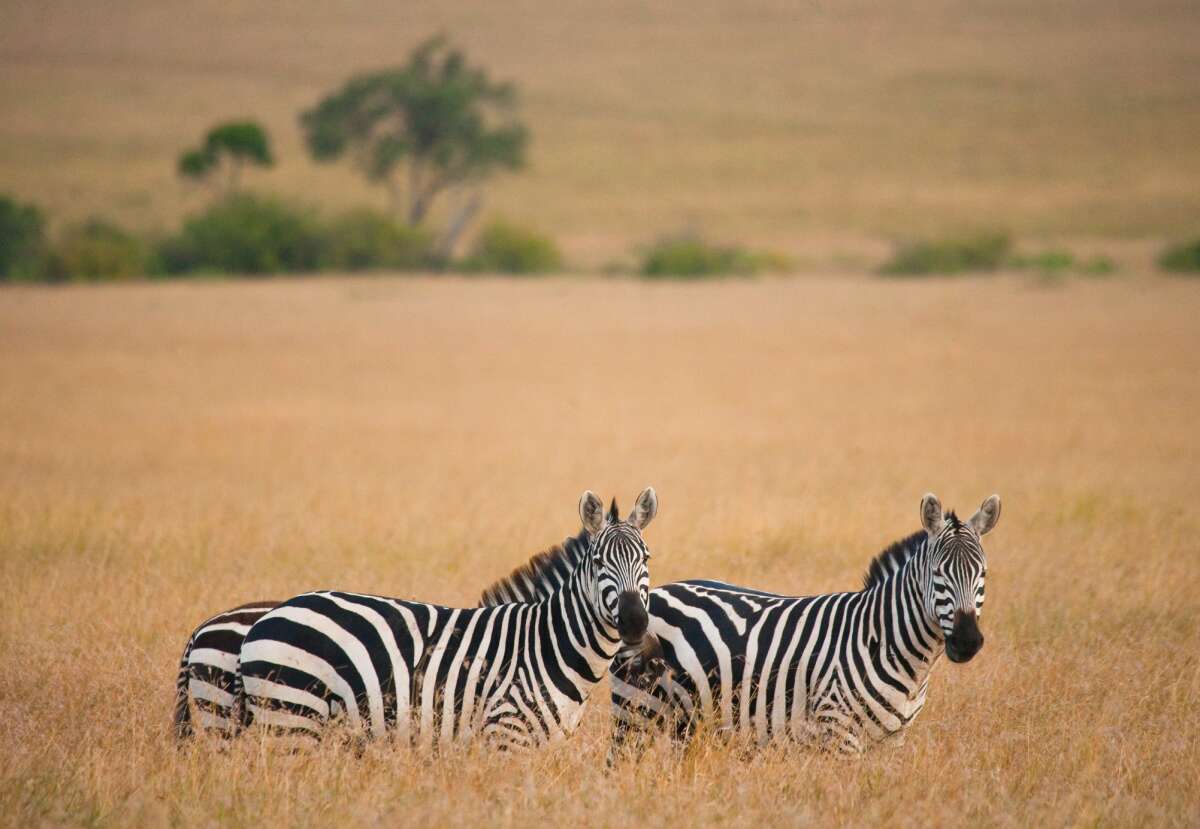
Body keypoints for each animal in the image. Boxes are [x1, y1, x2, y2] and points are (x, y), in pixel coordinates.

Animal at [231, 489, 657, 748]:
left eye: (646, 558)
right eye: (599, 562)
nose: (635, 622)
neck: (548, 643)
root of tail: (268, 617)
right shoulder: (506, 736)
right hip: (292, 717)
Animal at [609, 491, 1003, 758]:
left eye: (983, 573)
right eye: (938, 574)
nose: (967, 641)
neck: (885, 639)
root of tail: (657, 592)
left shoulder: (893, 740)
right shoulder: (840, 733)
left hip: (688, 722)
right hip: (636, 709)